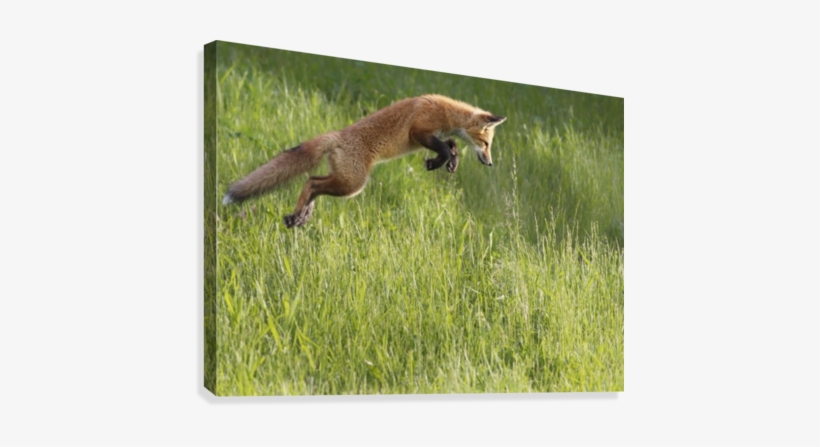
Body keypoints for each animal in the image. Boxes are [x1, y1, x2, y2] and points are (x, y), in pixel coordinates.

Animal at [222, 94, 507, 228]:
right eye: (487, 144)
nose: (491, 163)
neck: (447, 113)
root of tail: (337, 135)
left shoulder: (432, 136)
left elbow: (451, 145)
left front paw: (448, 162)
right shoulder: (418, 132)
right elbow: (446, 147)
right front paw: (441, 161)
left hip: (345, 180)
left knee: (312, 183)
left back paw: (300, 216)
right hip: (352, 184)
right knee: (311, 183)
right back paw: (298, 215)